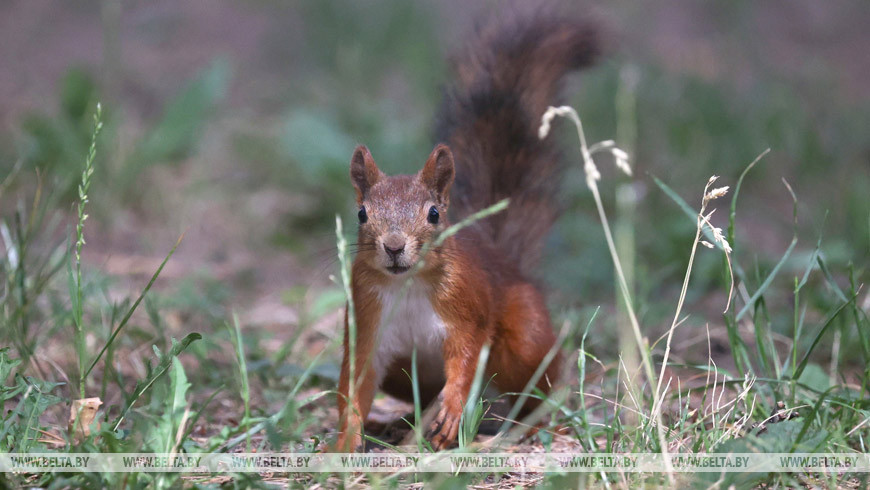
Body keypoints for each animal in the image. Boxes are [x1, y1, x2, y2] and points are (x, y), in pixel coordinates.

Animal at [334, 12, 600, 452]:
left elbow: (467, 357)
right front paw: (342, 441)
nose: (394, 246)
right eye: (361, 213)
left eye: (434, 214)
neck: (407, 284)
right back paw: (402, 423)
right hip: (403, 373)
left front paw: (455, 407)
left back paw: (537, 426)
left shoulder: (467, 306)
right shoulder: (367, 319)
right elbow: (354, 382)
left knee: (533, 388)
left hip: (525, 338)